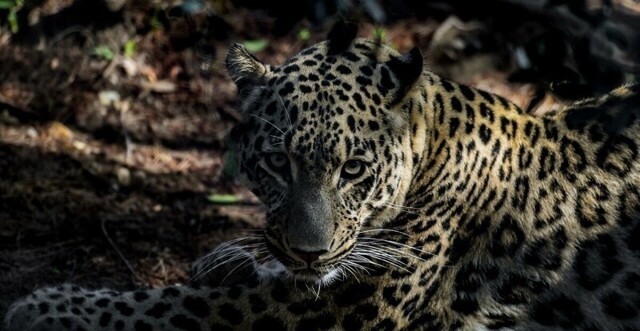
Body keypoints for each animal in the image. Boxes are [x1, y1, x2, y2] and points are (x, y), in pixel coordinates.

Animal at [5, 24, 640, 331]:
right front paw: (226, 259)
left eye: (353, 170)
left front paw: (49, 307)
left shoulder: (338, 306)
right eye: (277, 163)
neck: (434, 140)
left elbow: (173, 307)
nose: (309, 252)